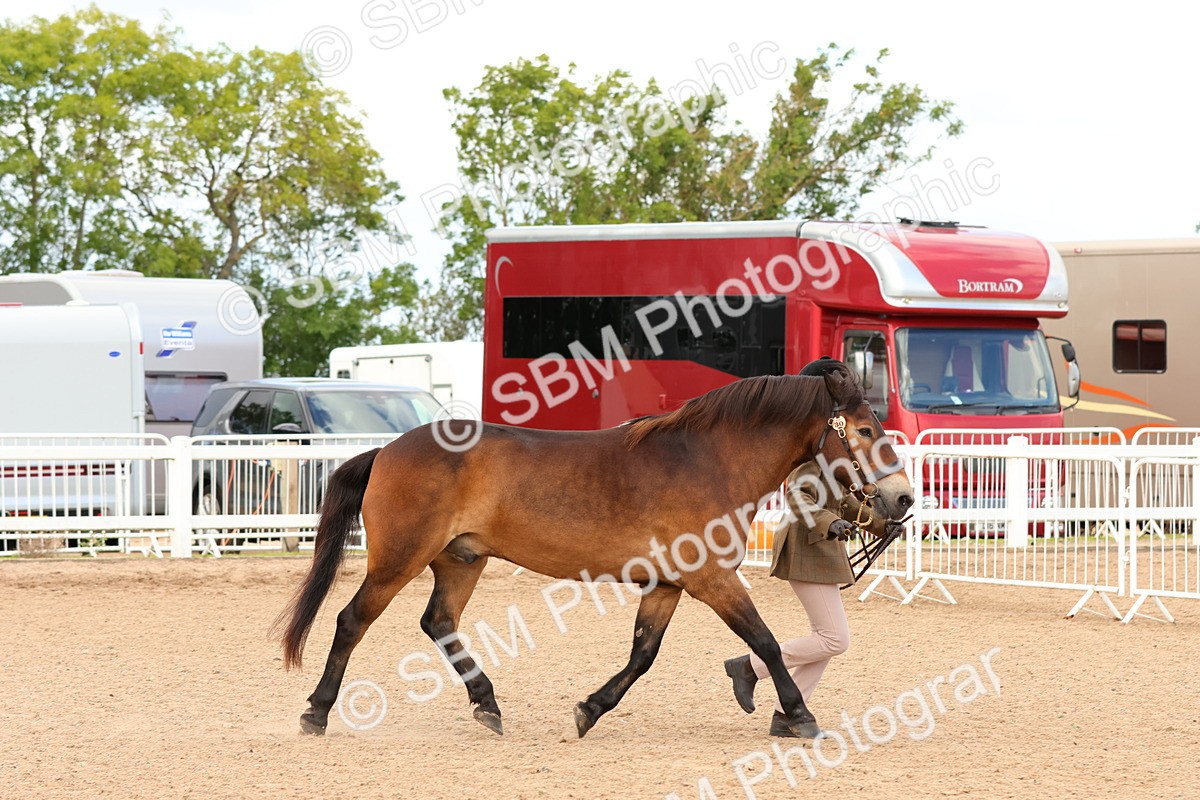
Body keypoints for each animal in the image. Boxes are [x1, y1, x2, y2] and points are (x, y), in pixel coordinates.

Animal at [278, 362, 913, 739]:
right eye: (863, 430)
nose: (903, 498)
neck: (707, 460)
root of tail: (386, 450)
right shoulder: (712, 581)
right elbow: (766, 642)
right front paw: (800, 714)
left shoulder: (668, 584)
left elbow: (642, 655)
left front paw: (590, 709)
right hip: (398, 560)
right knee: (351, 619)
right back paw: (315, 711)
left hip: (461, 560)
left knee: (438, 622)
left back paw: (488, 704)